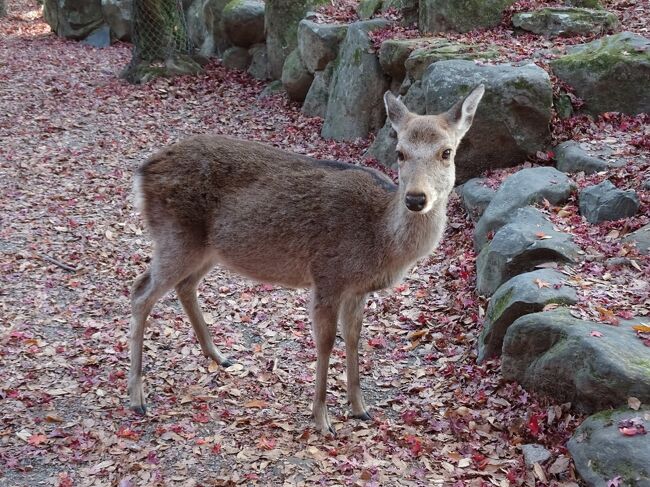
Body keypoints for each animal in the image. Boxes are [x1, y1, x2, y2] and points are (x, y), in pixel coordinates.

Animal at [128, 84, 480, 434]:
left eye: (447, 152)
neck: (379, 240)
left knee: (184, 286)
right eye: (400, 153)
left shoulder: (358, 289)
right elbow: (325, 342)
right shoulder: (328, 275)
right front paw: (322, 419)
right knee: (140, 291)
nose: (416, 198)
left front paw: (360, 408)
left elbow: (354, 338)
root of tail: (142, 171)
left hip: (206, 249)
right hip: (176, 237)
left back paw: (219, 356)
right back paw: (137, 397)